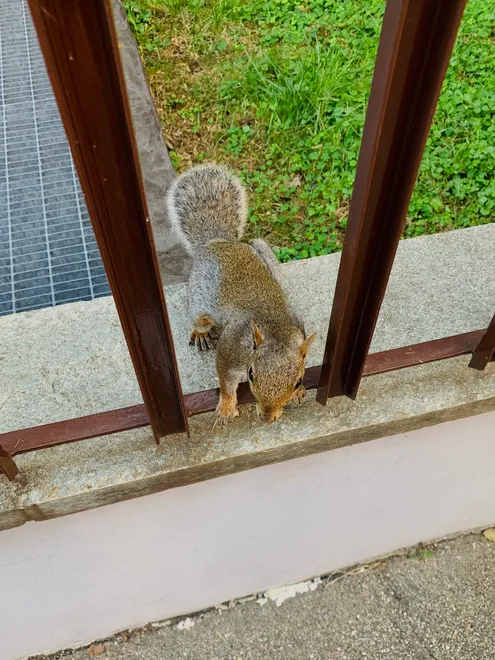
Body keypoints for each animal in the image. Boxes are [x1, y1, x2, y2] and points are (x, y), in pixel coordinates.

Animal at [167, 164, 316, 425]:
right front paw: (227, 407)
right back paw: (201, 333)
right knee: (198, 319)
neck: (275, 328)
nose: (267, 418)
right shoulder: (231, 349)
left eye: (298, 380)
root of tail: (217, 242)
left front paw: (300, 393)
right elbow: (225, 380)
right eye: (251, 374)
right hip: (199, 300)